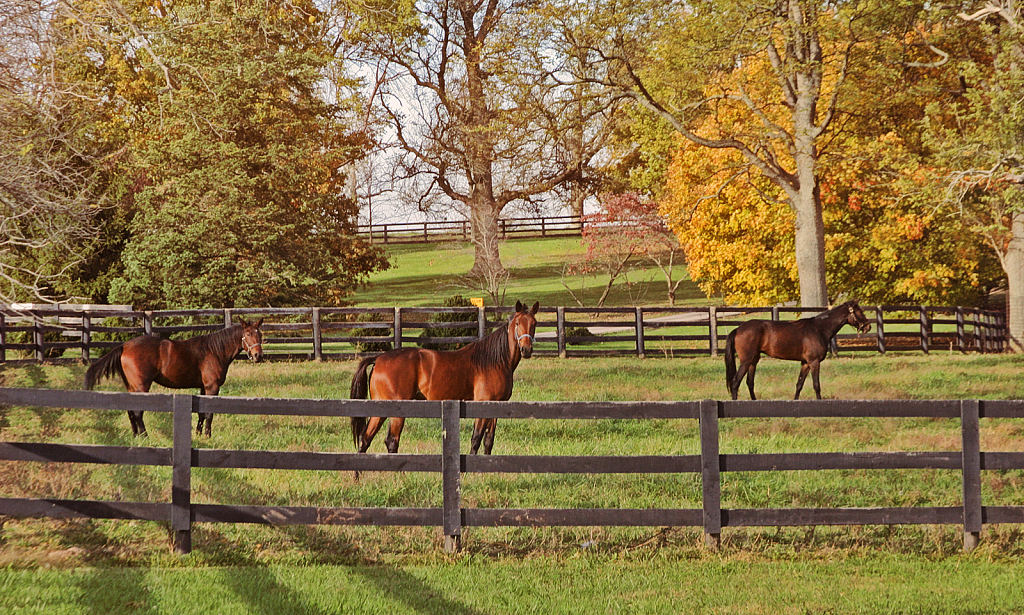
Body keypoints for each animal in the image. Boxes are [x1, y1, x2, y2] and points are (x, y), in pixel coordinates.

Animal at [82, 319, 264, 433]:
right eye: (248, 334)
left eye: (260, 335)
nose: (258, 356)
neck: (214, 351)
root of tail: (124, 346)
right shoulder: (212, 387)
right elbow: (209, 414)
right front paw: (207, 435)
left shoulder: (203, 387)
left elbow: (201, 414)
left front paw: (198, 435)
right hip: (141, 386)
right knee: (138, 412)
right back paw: (145, 436)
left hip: (131, 387)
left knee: (130, 411)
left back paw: (135, 435)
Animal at [352, 298, 540, 452]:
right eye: (517, 323)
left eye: (534, 323)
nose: (526, 349)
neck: (494, 361)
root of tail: (379, 358)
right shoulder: (482, 404)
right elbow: (476, 439)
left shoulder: (496, 407)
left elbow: (488, 441)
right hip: (396, 410)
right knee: (391, 441)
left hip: (381, 409)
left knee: (365, 438)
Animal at [720, 300, 872, 399]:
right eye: (859, 311)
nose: (868, 327)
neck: (818, 329)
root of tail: (738, 329)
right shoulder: (814, 362)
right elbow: (816, 385)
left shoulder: (805, 363)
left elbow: (799, 384)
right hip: (746, 361)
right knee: (736, 382)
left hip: (753, 361)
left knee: (749, 383)